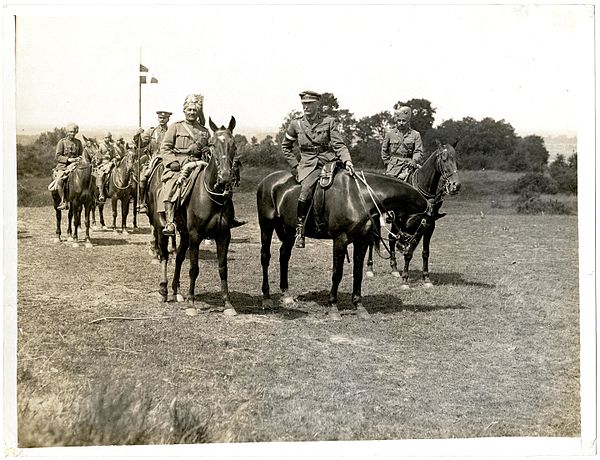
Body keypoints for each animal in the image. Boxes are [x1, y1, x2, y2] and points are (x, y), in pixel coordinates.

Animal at [148, 117, 239, 316]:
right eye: (212, 145)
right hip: (162, 228)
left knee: (179, 257)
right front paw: (191, 303)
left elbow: (223, 268)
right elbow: (194, 268)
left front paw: (228, 303)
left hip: (184, 233)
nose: (225, 177)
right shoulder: (196, 235)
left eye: (234, 145)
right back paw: (163, 290)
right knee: (165, 256)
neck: (213, 198)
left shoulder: (224, 235)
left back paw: (176, 291)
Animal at [256, 165, 436, 320]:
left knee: (284, 256)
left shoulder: (361, 241)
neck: (360, 196)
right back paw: (266, 297)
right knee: (265, 257)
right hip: (266, 226)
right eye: (425, 223)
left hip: (289, 231)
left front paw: (359, 306)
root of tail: (267, 180)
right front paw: (333, 307)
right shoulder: (340, 240)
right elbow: (337, 273)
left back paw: (286, 294)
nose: (402, 246)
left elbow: (358, 273)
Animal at [366, 140, 460, 288]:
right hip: (375, 219)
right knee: (372, 240)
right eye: (444, 159)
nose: (455, 185)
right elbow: (408, 252)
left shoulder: (428, 226)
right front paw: (405, 279)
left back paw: (394, 268)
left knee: (391, 239)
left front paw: (426, 278)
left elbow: (425, 252)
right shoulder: (410, 226)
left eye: (455, 158)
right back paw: (370, 269)